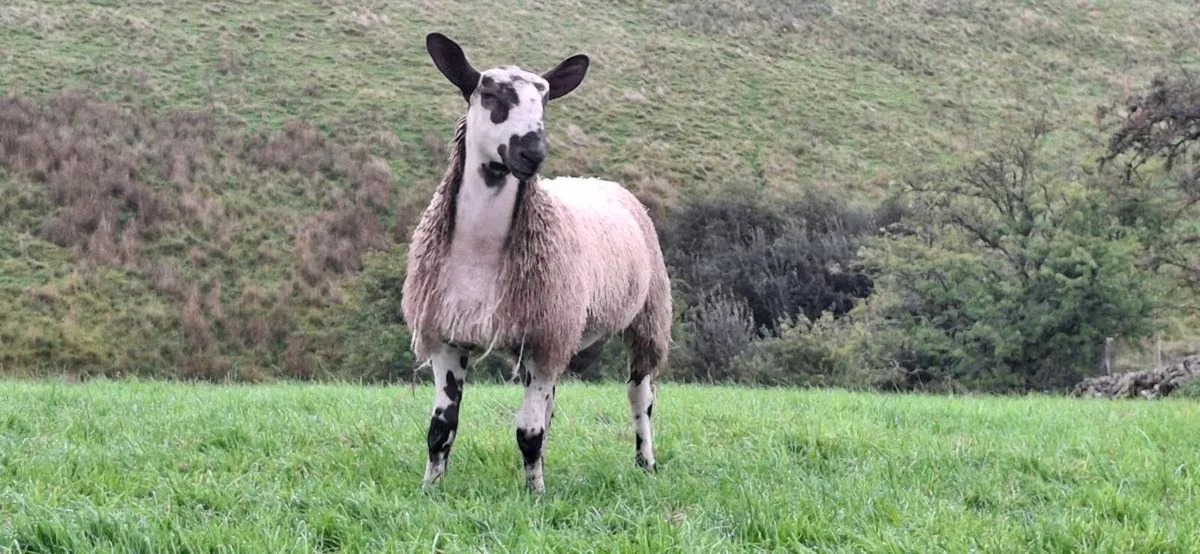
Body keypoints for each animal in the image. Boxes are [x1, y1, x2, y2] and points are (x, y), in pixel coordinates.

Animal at [401, 33, 673, 492]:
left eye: (545, 100)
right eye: (490, 93)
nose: (532, 152)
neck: (481, 252)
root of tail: (601, 182)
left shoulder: (546, 336)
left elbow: (527, 432)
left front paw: (535, 493)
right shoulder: (447, 335)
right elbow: (441, 428)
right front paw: (430, 489)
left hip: (647, 316)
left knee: (640, 397)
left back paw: (646, 463)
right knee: (551, 404)